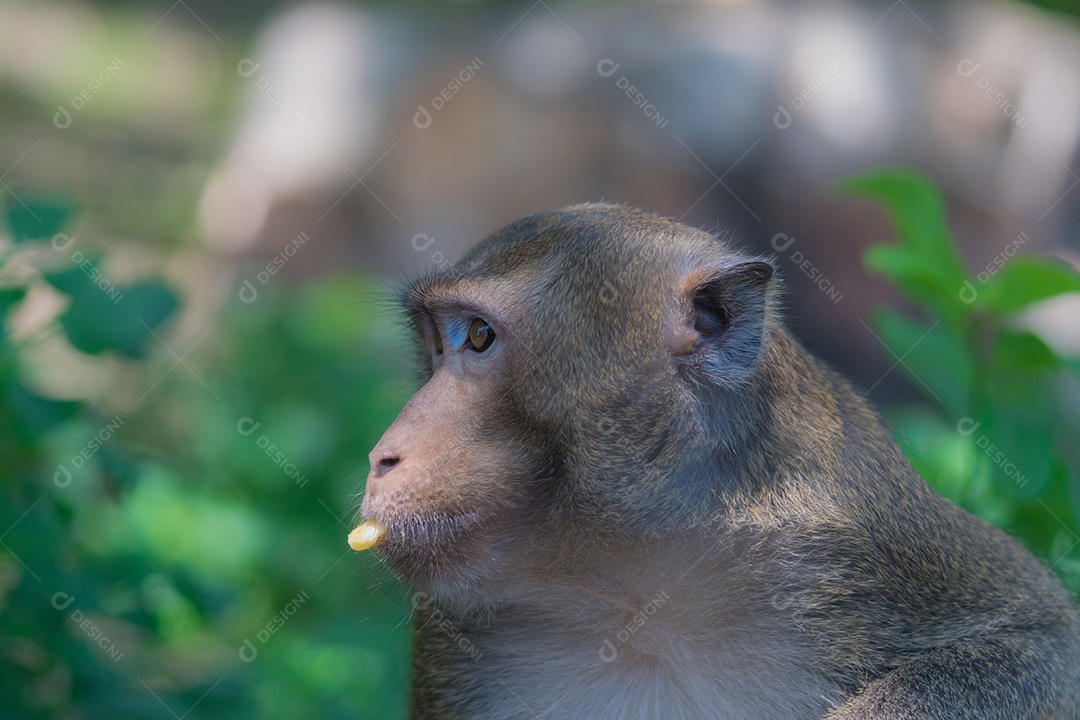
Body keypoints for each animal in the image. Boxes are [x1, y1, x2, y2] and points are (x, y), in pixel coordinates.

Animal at [356, 204, 1080, 720]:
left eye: (478, 336)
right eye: (435, 342)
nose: (381, 456)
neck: (637, 595)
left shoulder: (855, 543)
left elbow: (1047, 641)